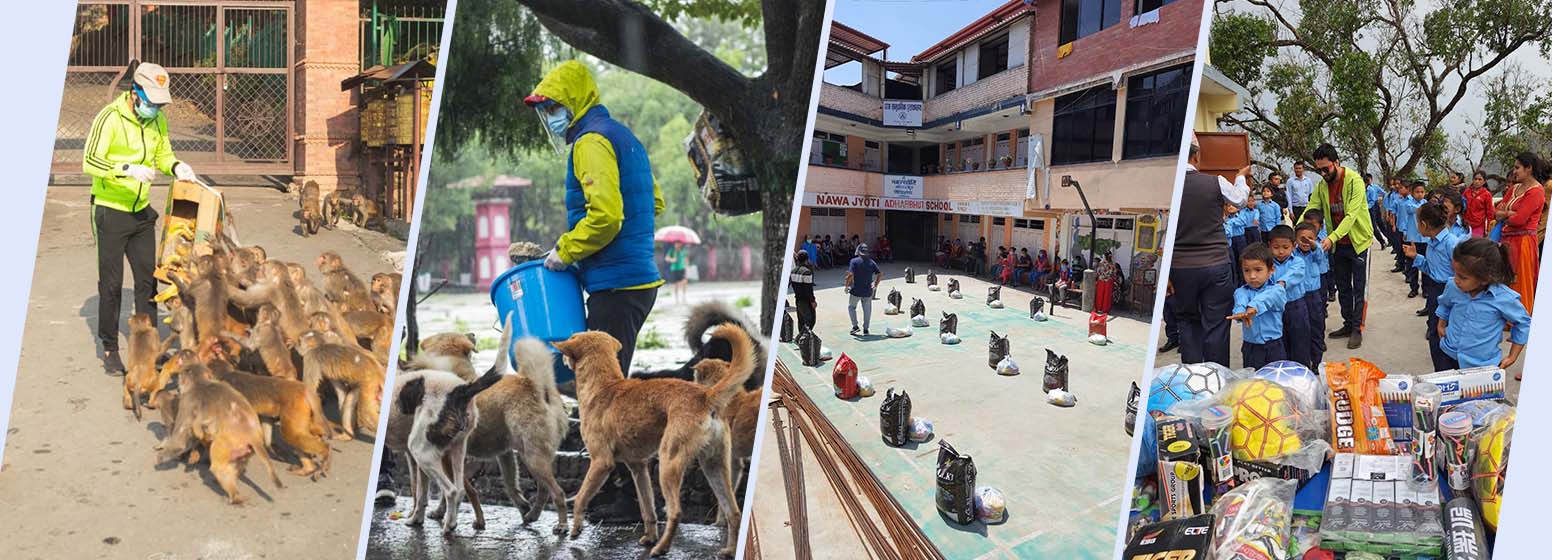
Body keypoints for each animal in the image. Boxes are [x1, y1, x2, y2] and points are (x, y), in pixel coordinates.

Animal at [154, 359, 285, 502]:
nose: (178, 386)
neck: (200, 382)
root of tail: (253, 436)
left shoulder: (187, 401)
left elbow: (180, 441)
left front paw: (161, 457)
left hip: (227, 444)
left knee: (218, 465)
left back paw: (235, 497)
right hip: (245, 449)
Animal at [465, 333, 577, 530]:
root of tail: (536, 386)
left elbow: (464, 490)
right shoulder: (505, 453)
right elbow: (510, 484)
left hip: (531, 456)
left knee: (558, 492)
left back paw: (562, 525)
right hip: (533, 455)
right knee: (544, 489)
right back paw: (532, 515)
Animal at [555, 322, 754, 555]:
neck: (604, 386)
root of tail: (705, 396)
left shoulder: (601, 463)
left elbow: (580, 498)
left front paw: (575, 529)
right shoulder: (638, 467)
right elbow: (647, 508)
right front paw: (649, 536)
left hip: (668, 463)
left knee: (676, 512)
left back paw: (661, 548)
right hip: (714, 466)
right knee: (734, 512)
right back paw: (728, 549)